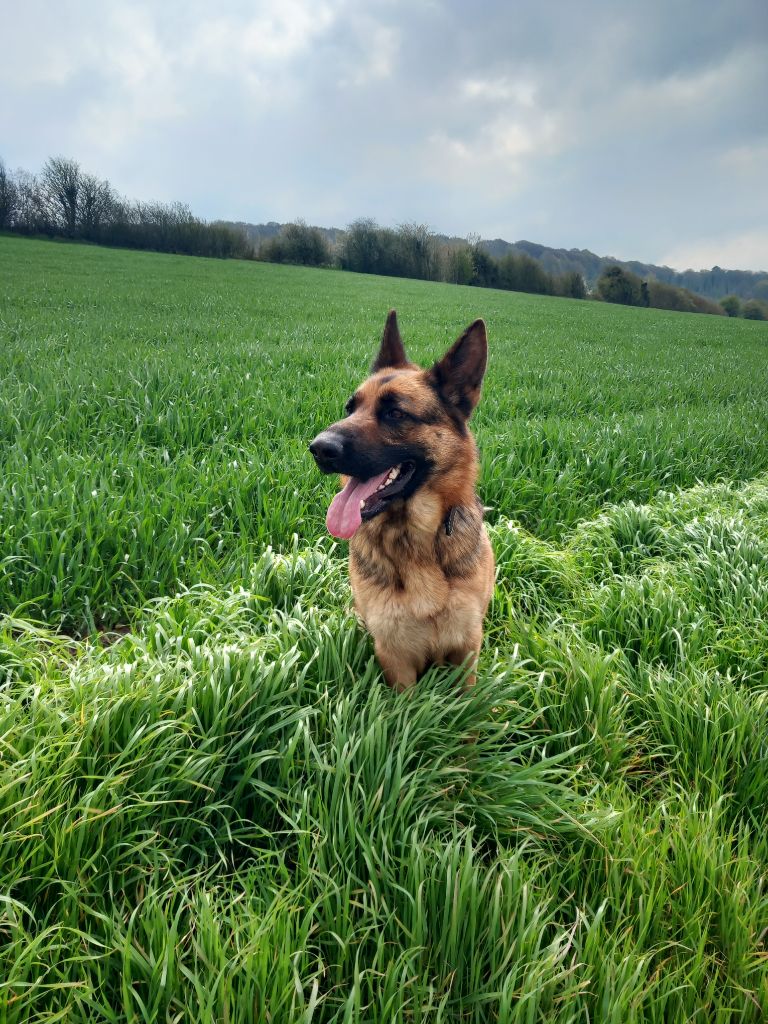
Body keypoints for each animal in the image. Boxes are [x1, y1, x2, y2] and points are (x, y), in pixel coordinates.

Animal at [309, 311, 495, 692]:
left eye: (395, 413)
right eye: (350, 408)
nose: (319, 448)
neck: (416, 537)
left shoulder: (466, 648)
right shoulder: (395, 657)